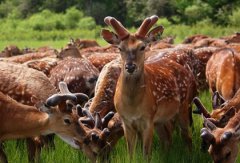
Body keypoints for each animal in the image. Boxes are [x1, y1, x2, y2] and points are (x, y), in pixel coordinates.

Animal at [100, 15, 196, 158]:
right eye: (120, 48)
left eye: (142, 47)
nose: (130, 67)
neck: (133, 106)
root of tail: (185, 70)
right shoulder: (126, 121)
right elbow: (130, 154)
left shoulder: (148, 119)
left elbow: (146, 154)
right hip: (161, 119)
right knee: (166, 139)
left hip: (184, 106)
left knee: (187, 136)